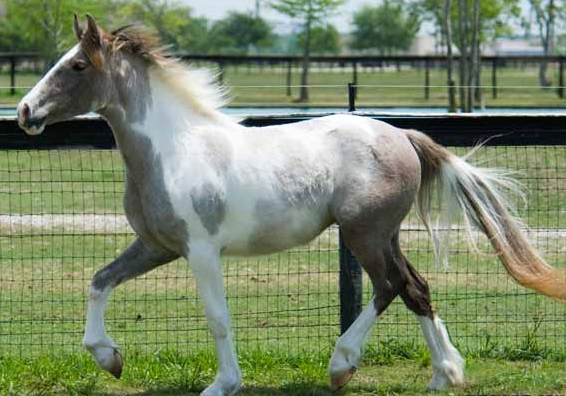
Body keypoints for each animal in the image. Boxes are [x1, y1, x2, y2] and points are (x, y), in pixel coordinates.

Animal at [16, 13, 566, 396]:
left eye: (77, 65)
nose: (24, 111)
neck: (174, 149)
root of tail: (404, 135)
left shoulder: (200, 250)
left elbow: (217, 317)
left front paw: (222, 384)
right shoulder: (157, 246)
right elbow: (99, 281)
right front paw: (109, 358)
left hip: (363, 234)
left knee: (390, 287)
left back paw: (342, 366)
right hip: (384, 234)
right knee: (417, 287)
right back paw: (444, 374)